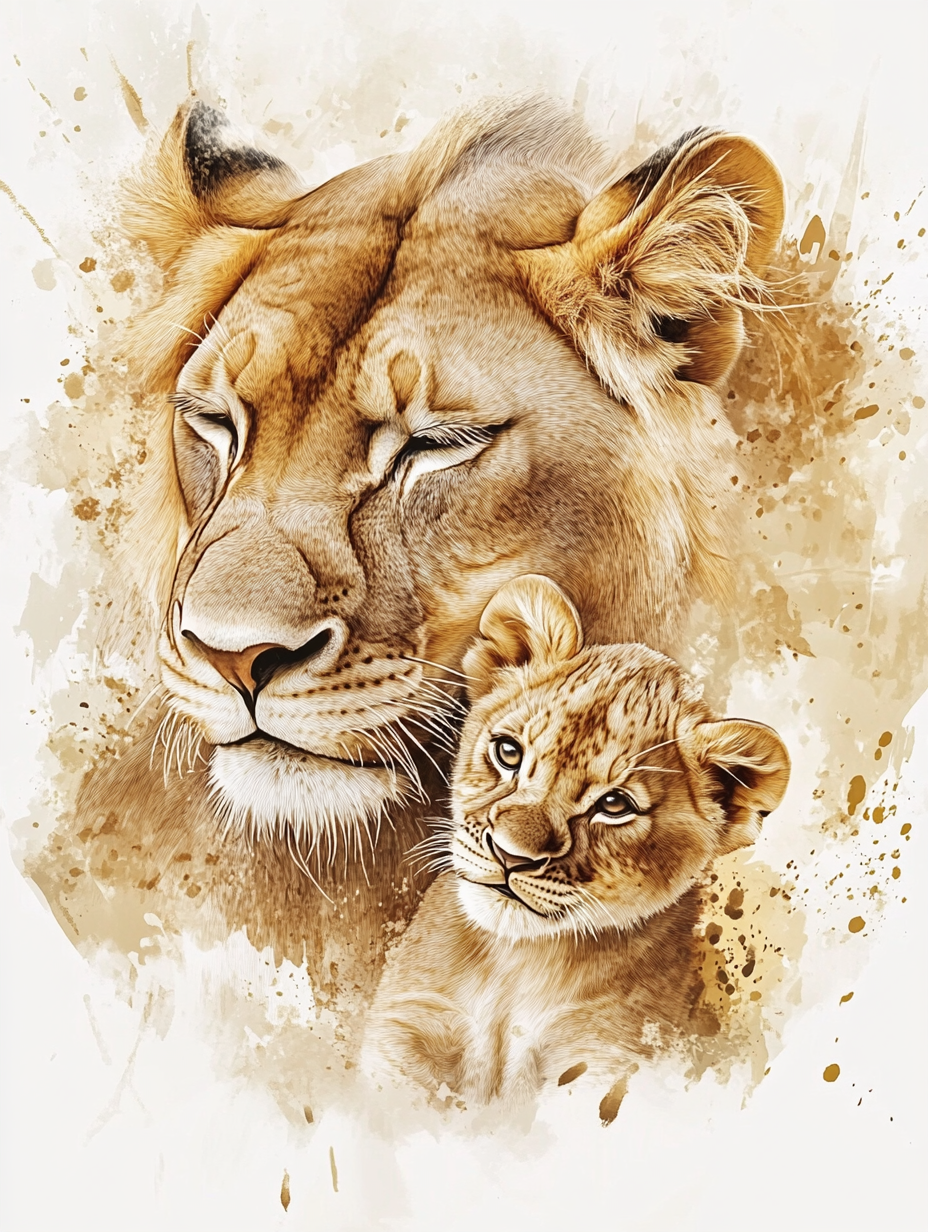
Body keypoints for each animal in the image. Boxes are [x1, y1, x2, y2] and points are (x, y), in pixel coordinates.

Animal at [365, 575, 790, 1102]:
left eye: (615, 805)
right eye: (508, 752)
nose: (510, 855)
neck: (510, 971)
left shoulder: (605, 1059)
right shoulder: (408, 1029)